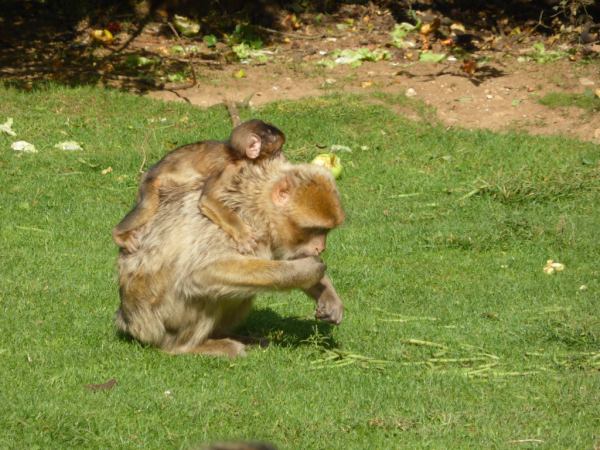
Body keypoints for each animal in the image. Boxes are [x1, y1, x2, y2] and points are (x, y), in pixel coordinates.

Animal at [112, 119, 286, 253]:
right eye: (278, 151)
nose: (283, 156)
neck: (237, 155)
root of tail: (148, 171)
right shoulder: (229, 169)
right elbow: (207, 200)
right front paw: (242, 234)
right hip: (148, 182)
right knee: (148, 207)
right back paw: (118, 234)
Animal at [114, 160, 344, 356]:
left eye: (326, 231)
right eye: (314, 229)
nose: (320, 248)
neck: (257, 206)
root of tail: (128, 320)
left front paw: (327, 292)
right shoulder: (237, 224)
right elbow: (199, 272)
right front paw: (306, 270)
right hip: (160, 320)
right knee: (206, 293)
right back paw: (188, 347)